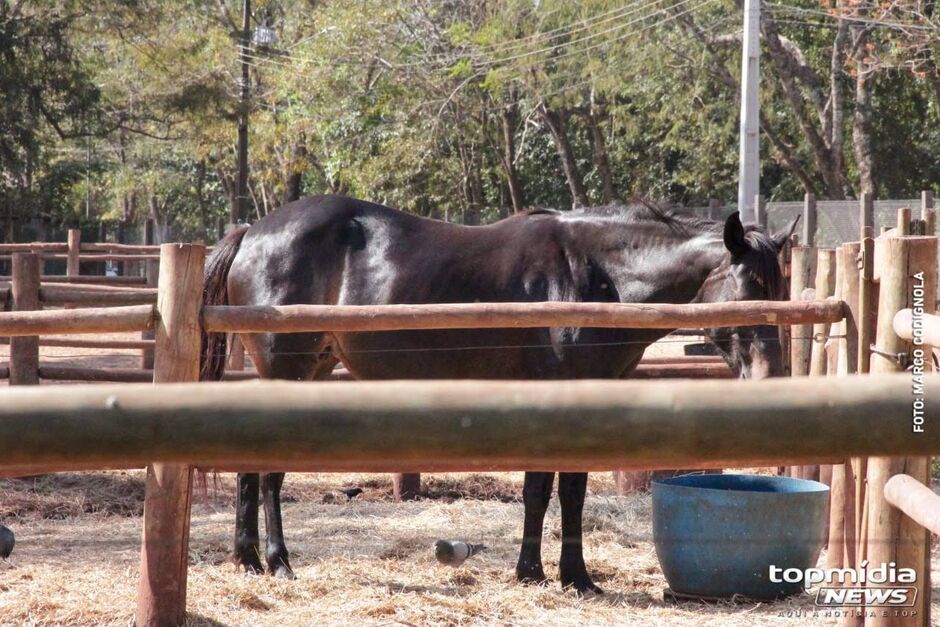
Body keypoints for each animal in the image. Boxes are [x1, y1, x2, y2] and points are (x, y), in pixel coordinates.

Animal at [202, 195, 796, 592]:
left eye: (782, 289)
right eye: (750, 289)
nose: (770, 376)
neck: (596, 278)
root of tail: (253, 230)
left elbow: (558, 492)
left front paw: (556, 574)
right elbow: (549, 491)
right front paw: (551, 574)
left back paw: (248, 559)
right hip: (289, 370)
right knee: (268, 472)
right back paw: (277, 561)